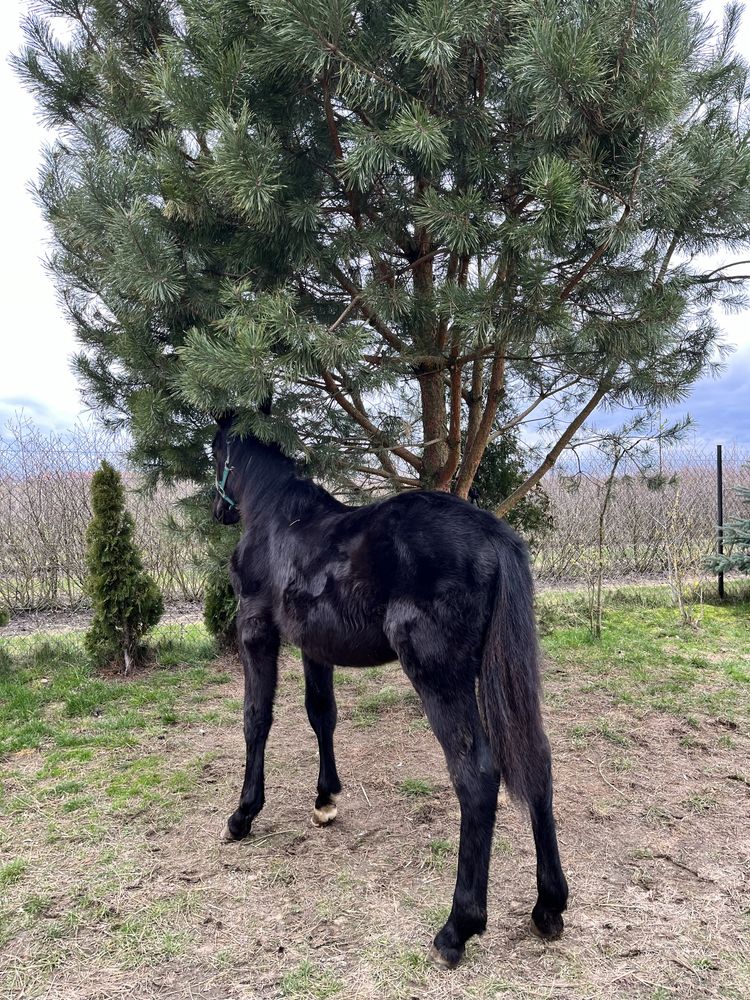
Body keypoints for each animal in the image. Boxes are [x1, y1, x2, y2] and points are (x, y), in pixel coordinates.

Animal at [209, 416, 568, 968]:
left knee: (477, 777)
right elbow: (321, 713)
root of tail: (493, 533)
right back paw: (549, 908)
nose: (218, 510)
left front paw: (243, 815)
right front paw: (325, 800)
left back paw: (457, 928)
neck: (278, 520)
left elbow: (256, 718)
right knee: (536, 762)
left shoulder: (256, 632)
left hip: (439, 677)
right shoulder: (315, 645)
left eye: (215, 452)